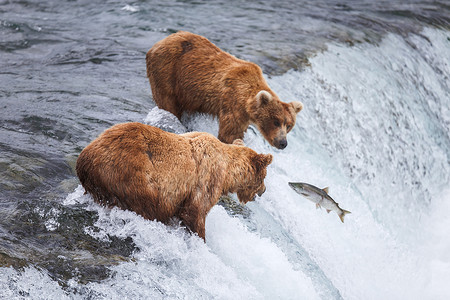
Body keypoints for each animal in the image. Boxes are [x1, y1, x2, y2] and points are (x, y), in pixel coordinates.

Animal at [76, 120, 272, 240]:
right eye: (264, 176)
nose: (264, 190)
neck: (227, 174)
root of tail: (85, 158)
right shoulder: (206, 180)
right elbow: (195, 213)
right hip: (131, 175)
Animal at [146, 31, 304, 149]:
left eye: (289, 125)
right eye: (276, 121)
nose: (283, 143)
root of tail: (160, 42)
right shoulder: (233, 104)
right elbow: (229, 134)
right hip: (167, 71)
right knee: (168, 102)